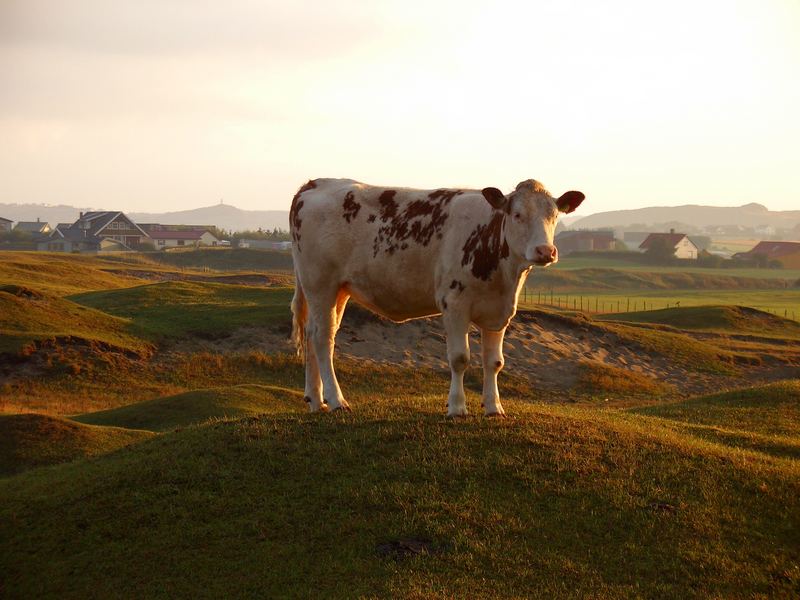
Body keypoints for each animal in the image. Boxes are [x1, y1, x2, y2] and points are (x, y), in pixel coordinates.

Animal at [290, 176, 584, 414]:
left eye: (554, 216)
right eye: (518, 215)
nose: (545, 251)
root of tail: (316, 183)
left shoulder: (499, 312)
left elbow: (495, 362)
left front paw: (494, 407)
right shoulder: (454, 304)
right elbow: (459, 358)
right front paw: (456, 407)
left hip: (339, 289)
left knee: (314, 333)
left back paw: (316, 399)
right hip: (320, 283)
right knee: (323, 337)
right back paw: (336, 400)